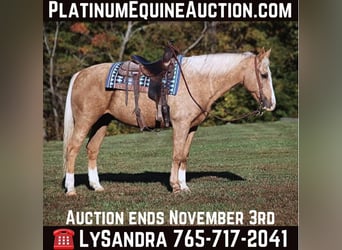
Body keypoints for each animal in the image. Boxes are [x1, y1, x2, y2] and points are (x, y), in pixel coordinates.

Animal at [62, 48, 276, 195]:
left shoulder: (192, 127)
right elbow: (176, 155)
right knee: (72, 149)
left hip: (102, 121)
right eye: (264, 75)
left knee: (92, 149)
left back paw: (97, 186)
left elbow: (184, 156)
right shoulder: (180, 125)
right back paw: (71, 190)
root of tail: (80, 74)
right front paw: (175, 186)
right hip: (86, 120)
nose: (271, 104)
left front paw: (184, 186)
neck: (197, 81)